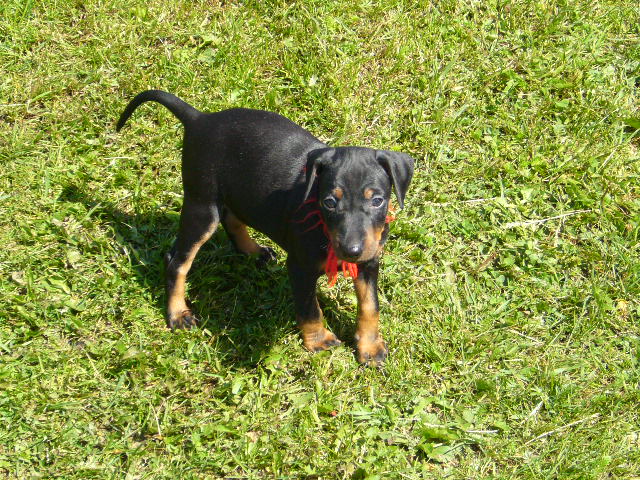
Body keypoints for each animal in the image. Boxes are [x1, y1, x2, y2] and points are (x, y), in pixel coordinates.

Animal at [117, 90, 414, 365]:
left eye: (377, 201)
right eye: (329, 202)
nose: (352, 252)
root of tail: (200, 119)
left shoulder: (370, 261)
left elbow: (370, 306)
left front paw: (370, 347)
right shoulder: (300, 267)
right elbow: (310, 309)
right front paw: (319, 341)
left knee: (232, 219)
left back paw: (253, 251)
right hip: (202, 204)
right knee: (177, 260)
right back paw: (178, 313)